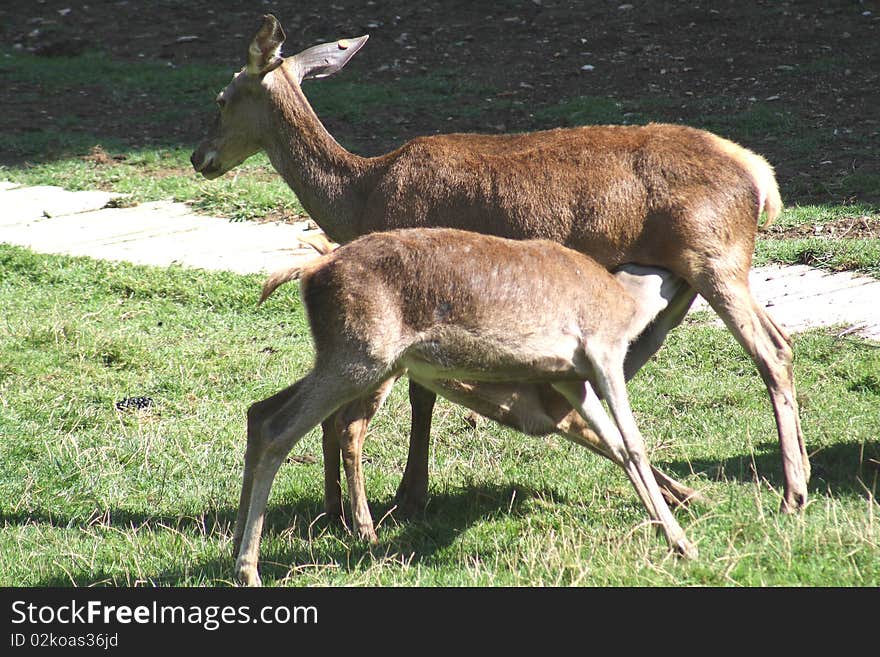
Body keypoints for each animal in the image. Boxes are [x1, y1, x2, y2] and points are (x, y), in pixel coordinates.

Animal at [192, 15, 812, 540]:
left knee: (771, 351)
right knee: (759, 346)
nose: (200, 157)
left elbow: (419, 396)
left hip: (716, 260)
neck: (360, 197)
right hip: (687, 282)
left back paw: (791, 495)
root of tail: (762, 178)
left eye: (221, 98)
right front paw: (355, 506)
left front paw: (405, 497)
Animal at [237, 228, 696, 588]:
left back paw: (238, 539)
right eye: (671, 269)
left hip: (347, 359)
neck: (625, 302)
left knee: (260, 411)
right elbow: (633, 443)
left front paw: (671, 525)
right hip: (361, 356)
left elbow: (615, 445)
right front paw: (682, 542)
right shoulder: (603, 350)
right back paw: (250, 568)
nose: (689, 277)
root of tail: (312, 272)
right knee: (282, 429)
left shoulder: (569, 379)